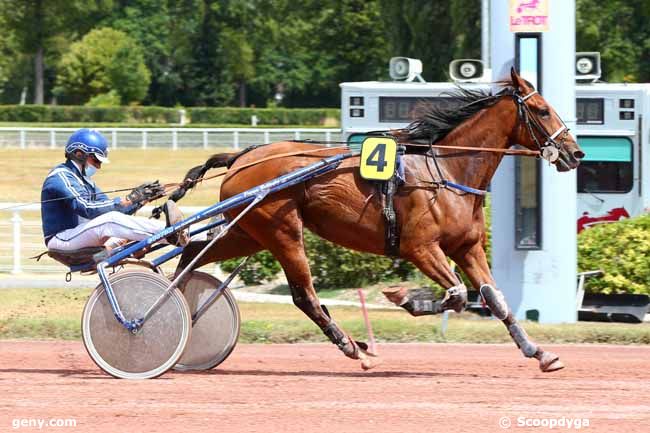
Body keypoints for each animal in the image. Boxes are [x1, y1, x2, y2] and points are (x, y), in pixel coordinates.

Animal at [172, 68, 584, 372]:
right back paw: (353, 347)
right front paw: (406, 297)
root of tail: (243, 156)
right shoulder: (420, 247)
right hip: (282, 231)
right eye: (542, 110)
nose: (575, 153)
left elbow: (495, 300)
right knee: (304, 296)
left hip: (247, 232)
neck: (446, 170)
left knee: (191, 252)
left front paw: (540, 353)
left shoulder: (466, 248)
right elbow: (456, 295)